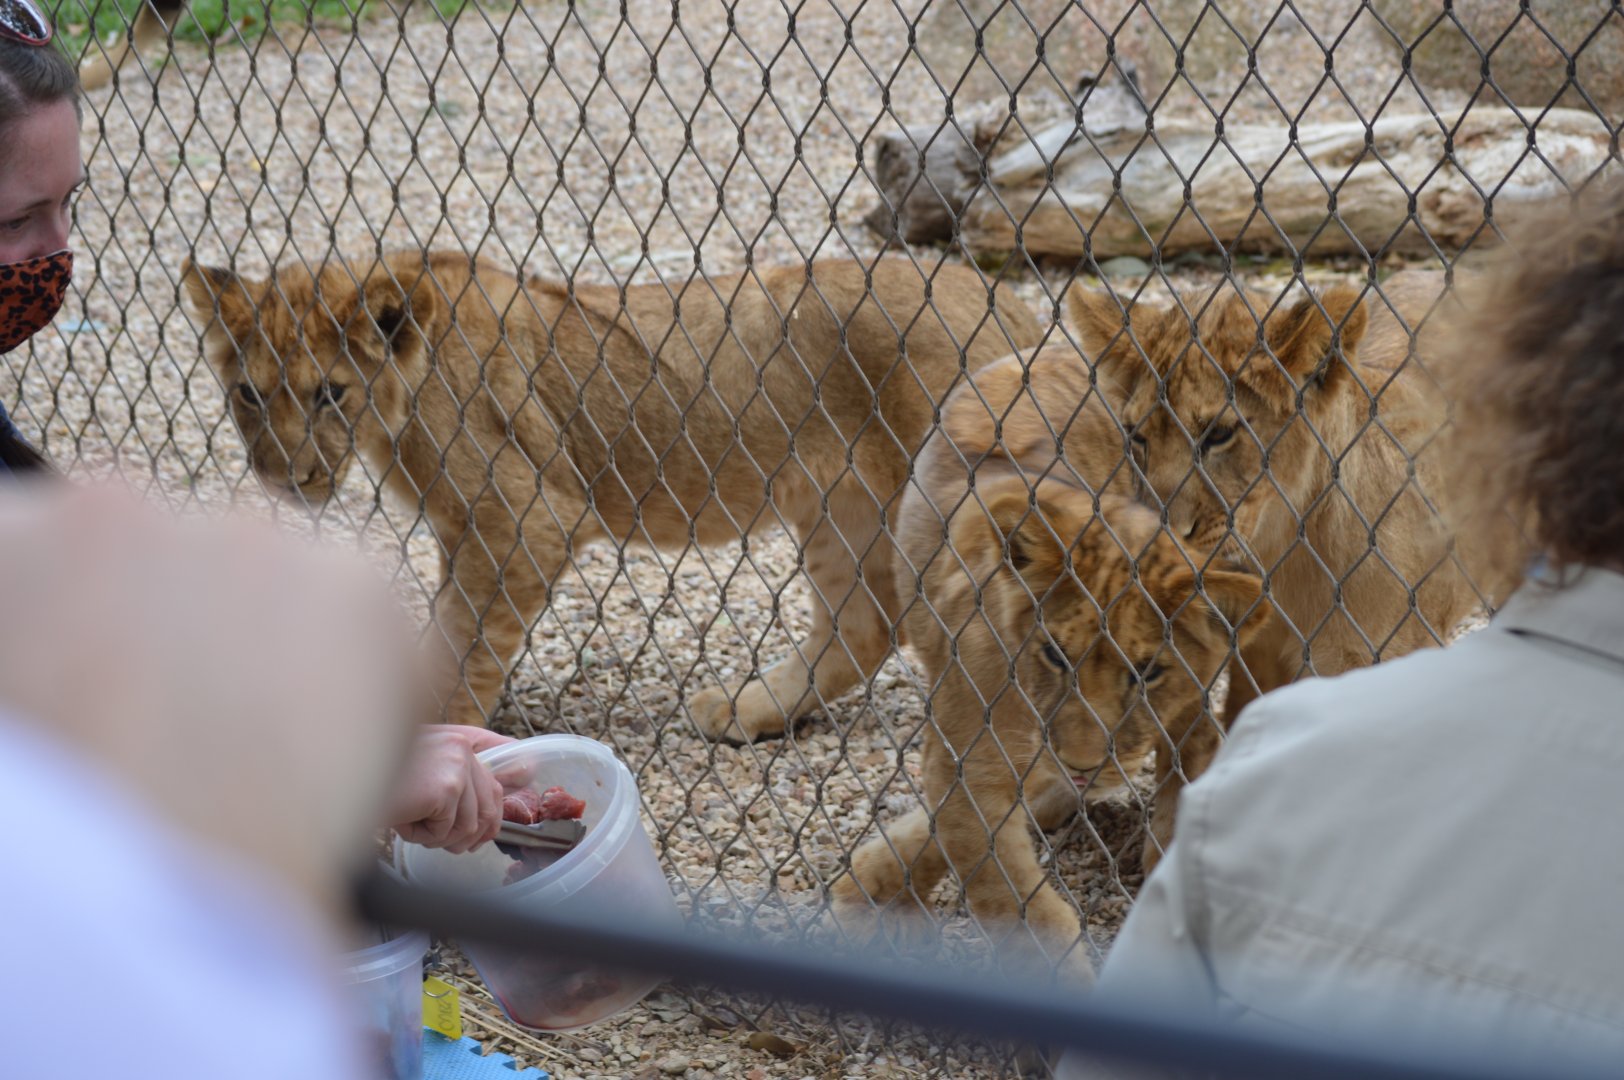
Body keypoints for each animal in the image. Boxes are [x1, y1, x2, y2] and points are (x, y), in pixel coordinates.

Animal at [181, 251, 1043, 736]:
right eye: (248, 393)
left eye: (328, 394)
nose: (281, 478)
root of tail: (1015, 308)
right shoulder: (474, 531)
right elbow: (447, 635)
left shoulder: (525, 522)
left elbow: (466, 646)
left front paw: (445, 750)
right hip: (842, 506)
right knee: (864, 624)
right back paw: (747, 712)